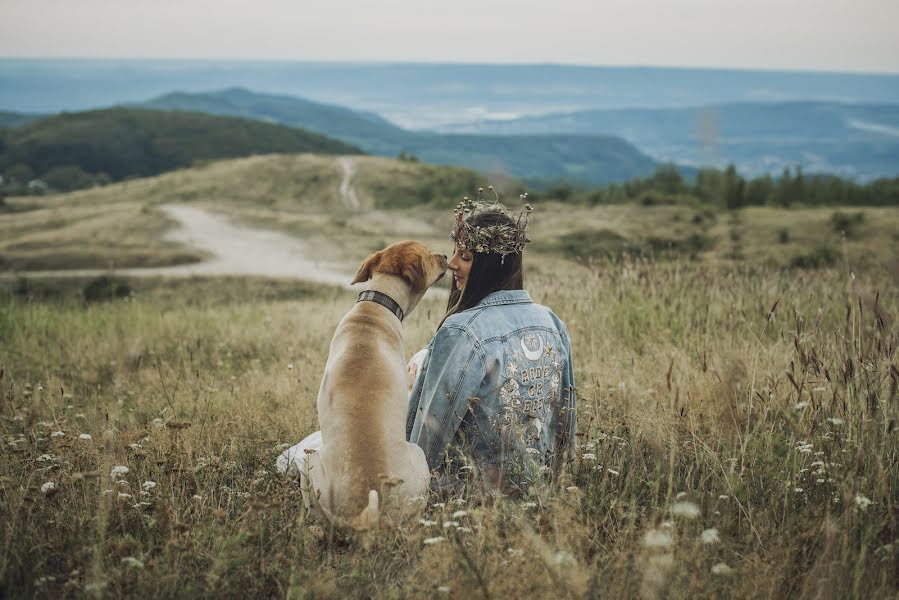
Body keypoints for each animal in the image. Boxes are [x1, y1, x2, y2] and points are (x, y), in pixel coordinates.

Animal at [304, 239, 448, 528]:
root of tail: (366, 512)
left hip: (310, 463)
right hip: (418, 455)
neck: (377, 304)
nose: (447, 256)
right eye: (429, 255)